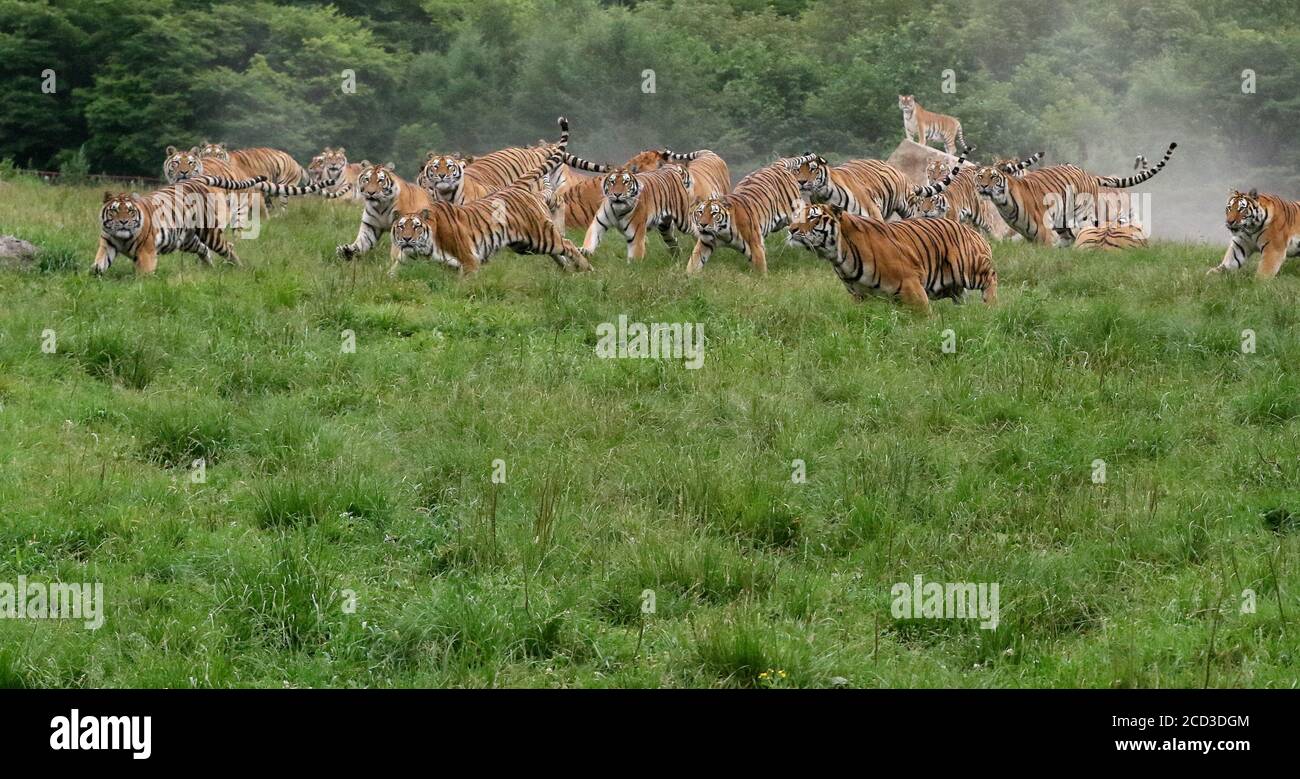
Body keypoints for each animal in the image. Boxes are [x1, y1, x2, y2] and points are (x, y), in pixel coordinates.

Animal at [780, 202, 993, 316]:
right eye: (797, 217)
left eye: (813, 218)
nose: (791, 229)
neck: (839, 256)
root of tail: (972, 231)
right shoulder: (860, 296)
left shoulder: (911, 286)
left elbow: (924, 318)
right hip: (951, 287)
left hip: (969, 269)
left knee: (990, 278)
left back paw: (991, 306)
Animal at [977, 143, 1180, 247]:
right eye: (981, 176)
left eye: (995, 176)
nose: (984, 186)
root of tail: (1088, 174)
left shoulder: (1045, 235)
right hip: (1064, 221)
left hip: (1084, 216)